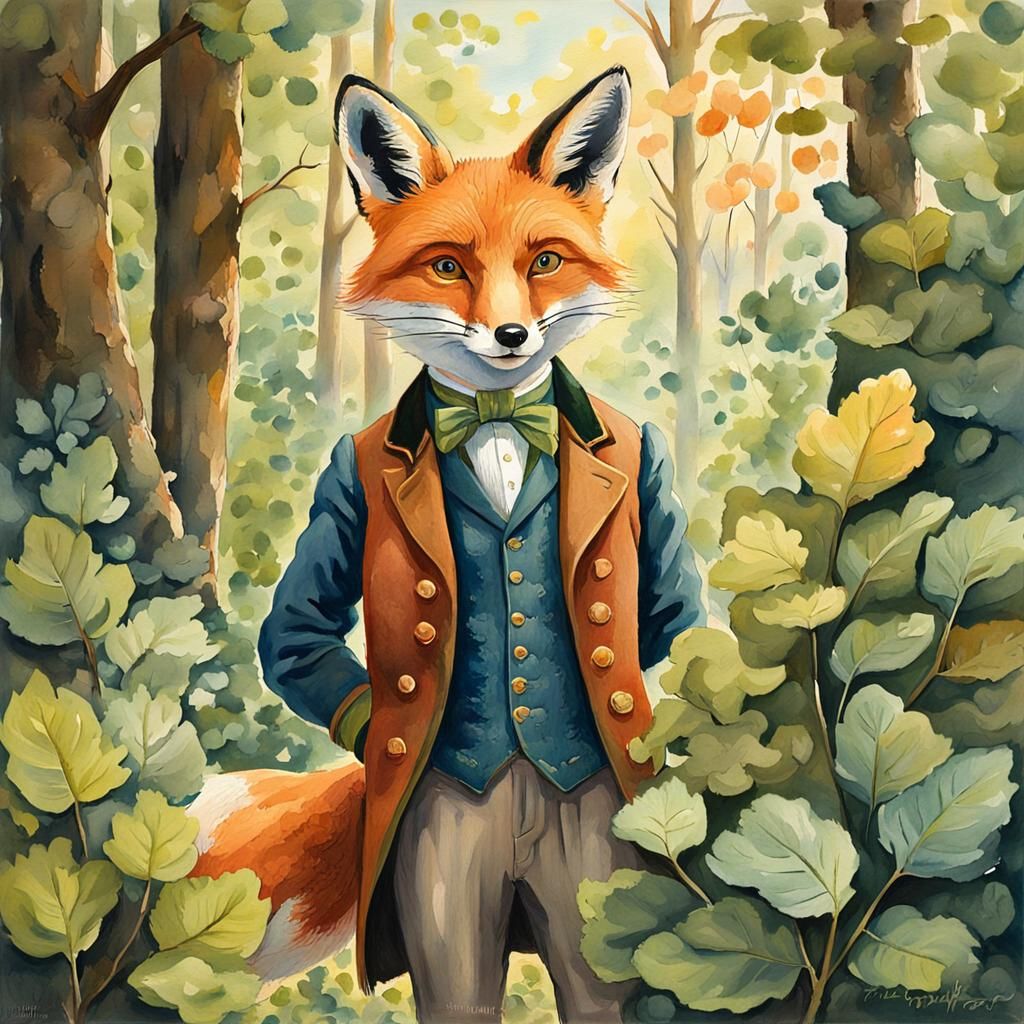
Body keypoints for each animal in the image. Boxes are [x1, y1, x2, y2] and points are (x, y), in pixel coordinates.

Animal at [189, 65, 703, 1022]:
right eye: (447, 266)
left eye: (544, 261)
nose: (511, 336)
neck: (498, 421)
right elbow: (296, 630)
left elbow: (671, 615)